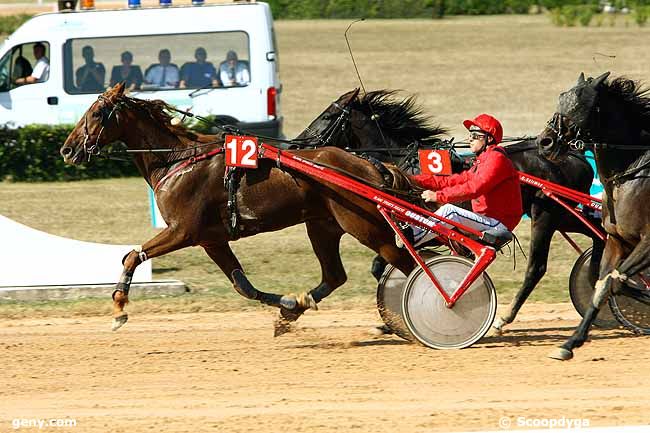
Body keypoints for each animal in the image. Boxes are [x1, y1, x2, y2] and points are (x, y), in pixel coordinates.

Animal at [58, 83, 418, 334]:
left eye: (95, 113)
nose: (67, 150)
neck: (176, 159)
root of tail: (372, 164)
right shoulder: (211, 239)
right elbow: (242, 285)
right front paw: (288, 302)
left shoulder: (182, 231)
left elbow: (132, 256)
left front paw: (119, 308)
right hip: (323, 225)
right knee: (336, 275)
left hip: (363, 225)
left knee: (405, 262)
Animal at [294, 88, 604, 330]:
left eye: (327, 116)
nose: (298, 142)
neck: (404, 165)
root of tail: (576, 153)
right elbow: (384, 265)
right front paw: (390, 321)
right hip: (563, 215)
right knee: (600, 233)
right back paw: (595, 278)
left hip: (546, 215)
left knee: (537, 267)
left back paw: (505, 318)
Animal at [536, 72, 648, 360]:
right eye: (562, 97)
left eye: (582, 105)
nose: (544, 142)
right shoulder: (617, 241)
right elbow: (604, 284)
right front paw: (569, 343)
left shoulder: (648, 242)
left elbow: (612, 282)